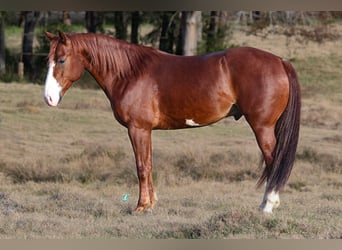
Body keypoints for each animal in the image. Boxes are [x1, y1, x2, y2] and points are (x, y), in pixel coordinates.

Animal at [43, 29, 300, 213]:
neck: (130, 72)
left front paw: (141, 206)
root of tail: (280, 61)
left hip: (262, 128)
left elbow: (141, 166)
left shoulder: (137, 129)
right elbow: (148, 163)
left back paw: (267, 206)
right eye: (48, 60)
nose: (49, 98)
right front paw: (151, 203)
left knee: (274, 162)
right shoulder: (146, 130)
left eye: (62, 60)